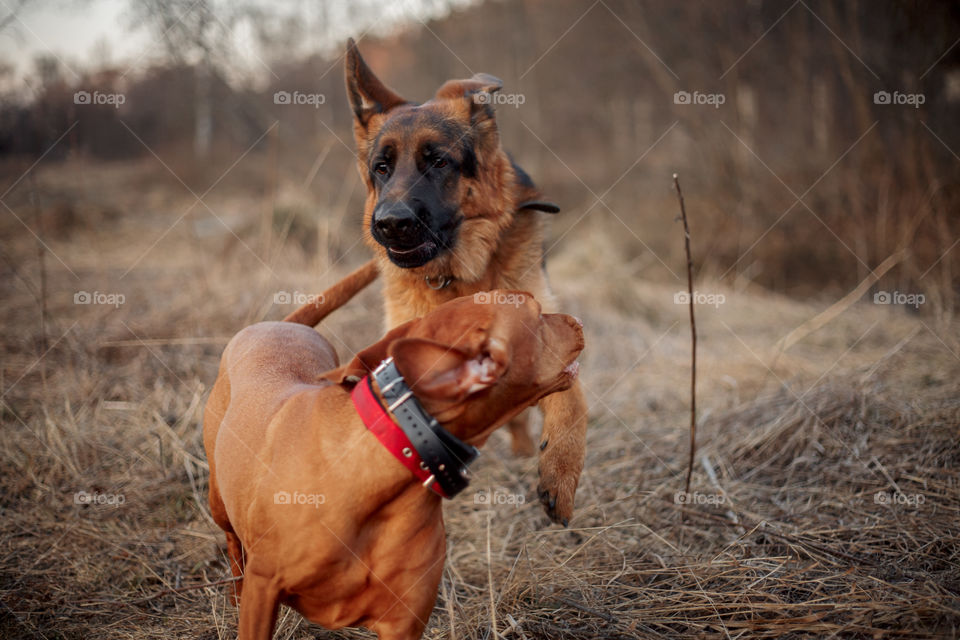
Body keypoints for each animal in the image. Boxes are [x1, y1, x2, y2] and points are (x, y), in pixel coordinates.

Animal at [202, 292, 584, 636]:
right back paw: (234, 594)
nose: (578, 320)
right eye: (537, 314)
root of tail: (282, 324)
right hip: (220, 504)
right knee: (234, 544)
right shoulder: (265, 588)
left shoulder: (404, 623)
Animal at [292, 37, 584, 524]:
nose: (390, 224)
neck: (455, 278)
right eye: (382, 168)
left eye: (439, 162)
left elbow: (572, 398)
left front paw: (560, 470)